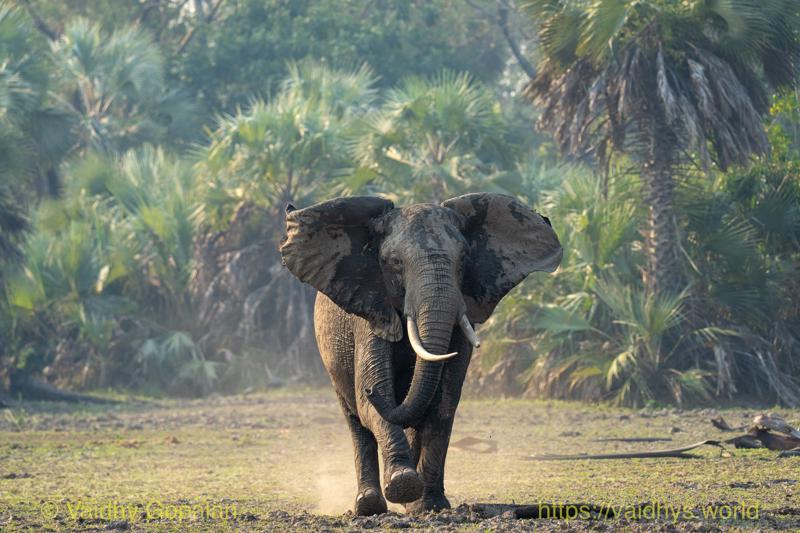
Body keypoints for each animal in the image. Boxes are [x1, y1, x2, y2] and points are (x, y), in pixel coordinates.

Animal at [280, 192, 562, 516]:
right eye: (395, 263)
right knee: (355, 420)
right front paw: (403, 483)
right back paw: (369, 506)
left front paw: (430, 505)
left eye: (464, 260)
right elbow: (369, 402)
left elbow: (443, 402)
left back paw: (409, 504)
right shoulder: (370, 312)